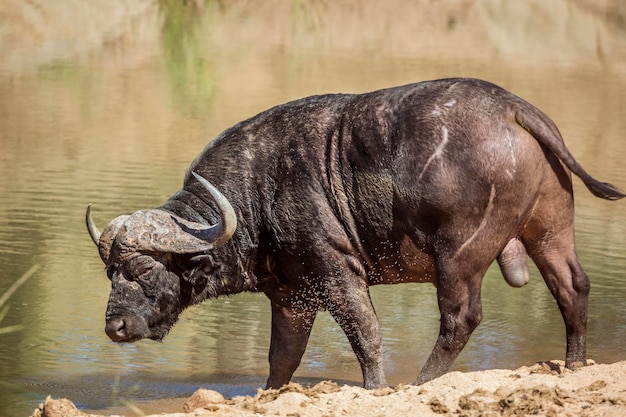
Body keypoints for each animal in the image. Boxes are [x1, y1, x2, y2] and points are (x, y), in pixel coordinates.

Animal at [85, 77, 620, 386]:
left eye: (144, 270)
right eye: (110, 273)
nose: (114, 327)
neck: (259, 191)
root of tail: (511, 107)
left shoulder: (339, 275)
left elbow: (366, 334)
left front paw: (376, 387)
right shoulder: (291, 298)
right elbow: (282, 358)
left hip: (459, 257)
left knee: (461, 318)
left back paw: (420, 382)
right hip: (549, 231)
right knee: (573, 286)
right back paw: (575, 365)